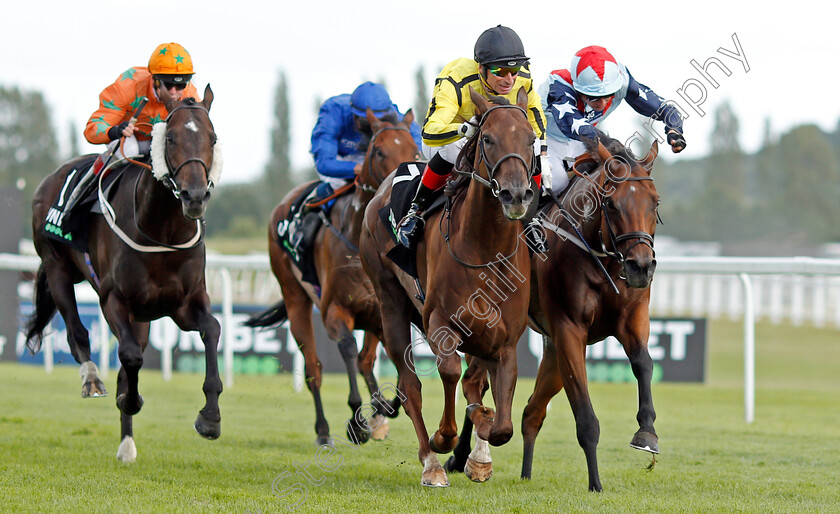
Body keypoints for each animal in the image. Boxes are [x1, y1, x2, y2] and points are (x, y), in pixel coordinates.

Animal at [25, 84, 223, 460]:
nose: (194, 197)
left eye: (213, 138)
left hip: (143, 316)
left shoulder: (185, 304)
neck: (162, 231)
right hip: (58, 268)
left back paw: (127, 445)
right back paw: (91, 380)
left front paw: (210, 417)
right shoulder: (114, 299)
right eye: (170, 138)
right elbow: (129, 356)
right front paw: (130, 400)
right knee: (77, 334)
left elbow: (212, 330)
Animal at [244, 109, 418, 444]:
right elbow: (348, 349)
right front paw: (356, 418)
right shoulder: (335, 311)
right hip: (295, 297)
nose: (399, 191)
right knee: (314, 369)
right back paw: (324, 431)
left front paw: (383, 408)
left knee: (365, 361)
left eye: (415, 150)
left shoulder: (379, 311)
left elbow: (386, 364)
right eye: (379, 151)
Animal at [358, 87, 536, 484]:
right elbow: (452, 374)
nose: (516, 196)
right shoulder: (440, 322)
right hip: (391, 303)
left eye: (531, 140)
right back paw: (431, 463)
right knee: (411, 386)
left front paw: (480, 447)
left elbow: (500, 421)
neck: (486, 249)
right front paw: (445, 438)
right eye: (487, 139)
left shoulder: (504, 339)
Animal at [446, 129, 664, 488]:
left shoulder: (631, 320)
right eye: (611, 203)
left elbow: (644, 363)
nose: (641, 267)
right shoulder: (568, 330)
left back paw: (517, 471)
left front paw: (647, 432)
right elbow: (586, 417)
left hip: (546, 350)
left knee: (529, 412)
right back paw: (466, 455)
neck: (596, 253)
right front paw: (595, 485)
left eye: (654, 201)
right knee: (475, 384)